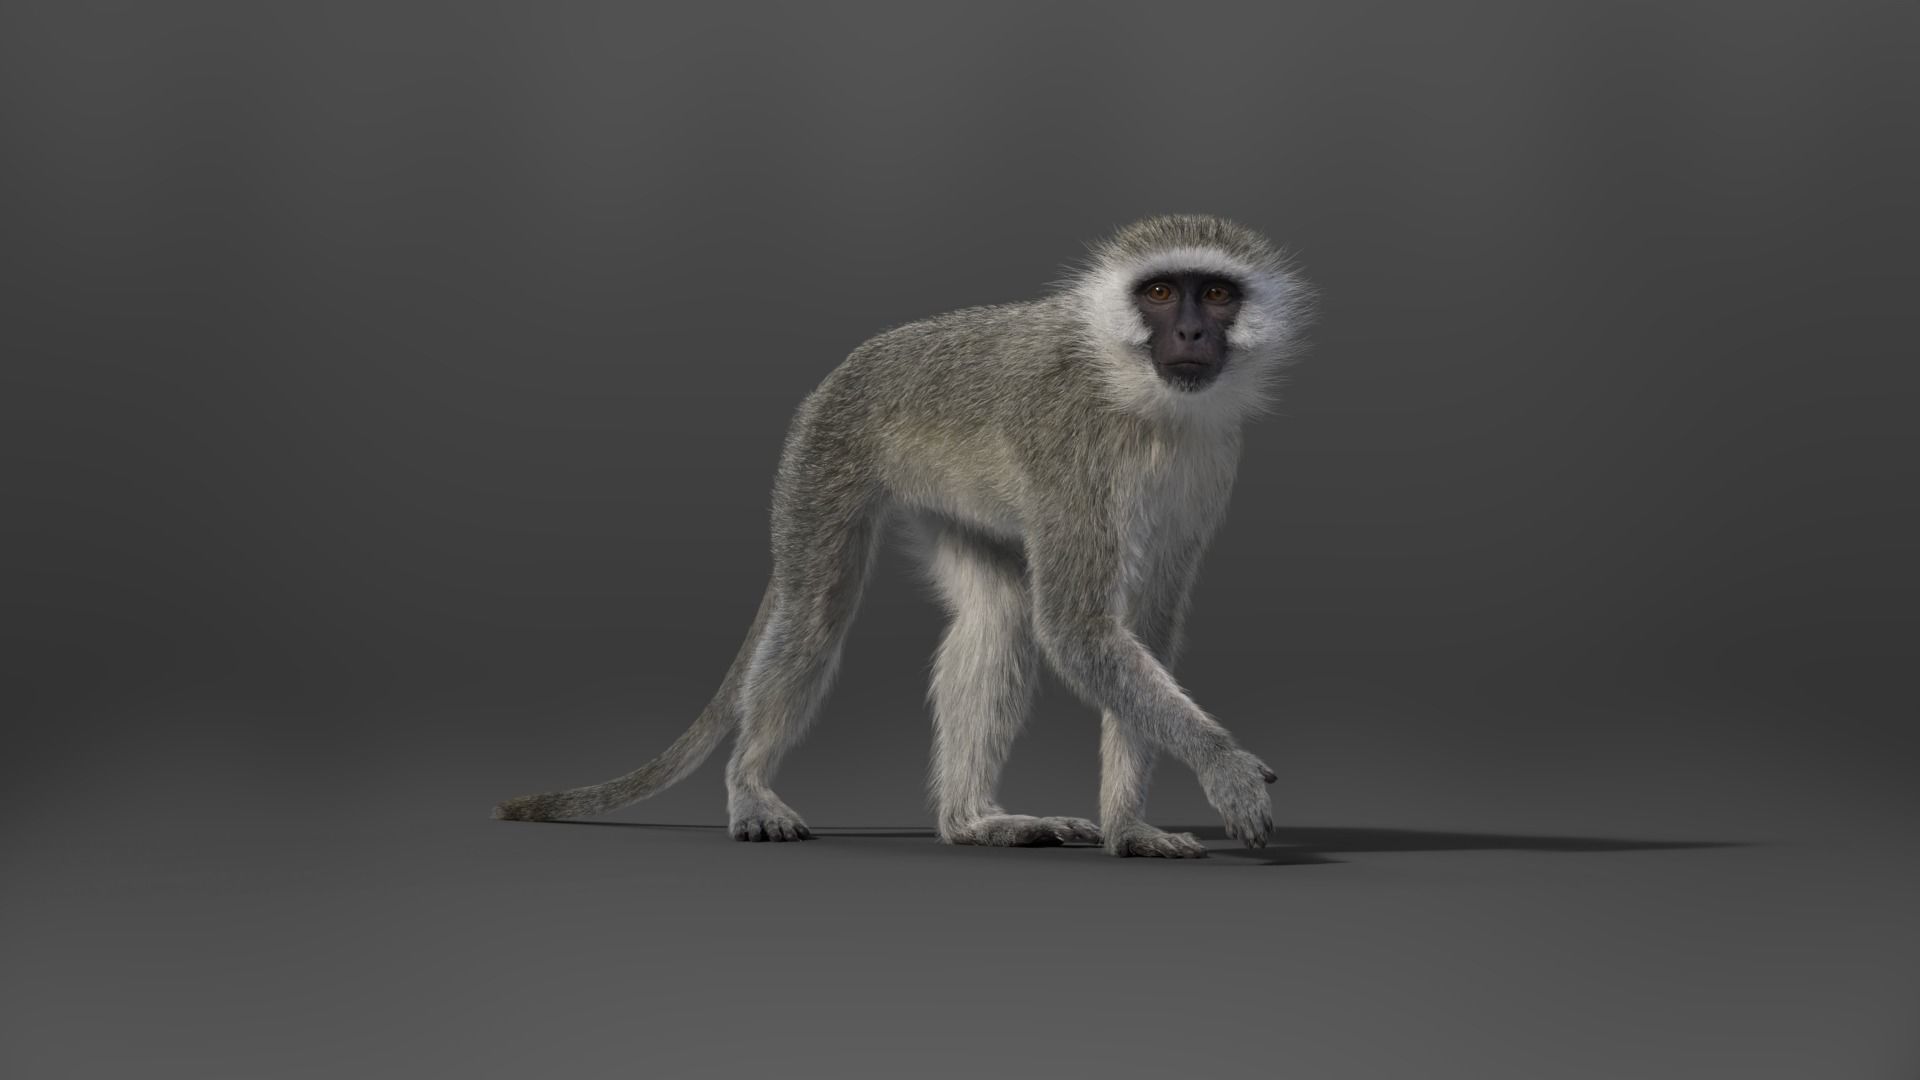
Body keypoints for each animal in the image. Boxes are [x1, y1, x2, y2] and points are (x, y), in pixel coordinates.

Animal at [493, 214, 1314, 857]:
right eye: (1159, 292)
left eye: (1216, 293)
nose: (1190, 330)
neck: (1140, 400)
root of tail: (847, 368)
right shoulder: (1071, 445)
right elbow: (1080, 629)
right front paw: (1223, 766)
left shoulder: (1212, 463)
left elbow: (1138, 626)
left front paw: (1129, 826)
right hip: (825, 452)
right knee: (816, 611)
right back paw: (751, 785)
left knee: (996, 613)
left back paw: (972, 822)